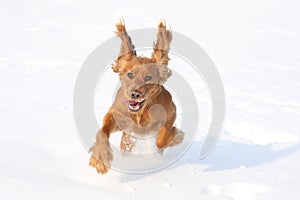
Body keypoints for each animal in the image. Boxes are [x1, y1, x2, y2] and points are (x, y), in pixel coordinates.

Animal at [88, 19, 184, 174]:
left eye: (148, 77)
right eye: (130, 74)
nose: (135, 94)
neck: (141, 112)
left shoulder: (171, 112)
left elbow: (161, 138)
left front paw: (175, 136)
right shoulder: (117, 115)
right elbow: (102, 132)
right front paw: (100, 159)